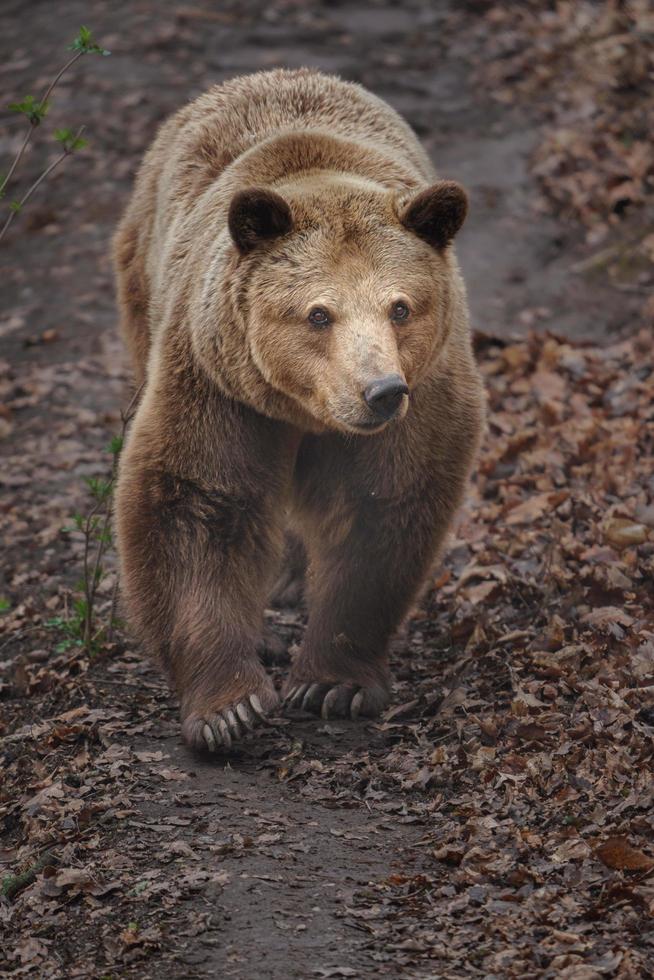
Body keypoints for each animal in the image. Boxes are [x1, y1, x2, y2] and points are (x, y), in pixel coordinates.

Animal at [115, 69, 486, 756]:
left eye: (400, 306)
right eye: (319, 313)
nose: (380, 391)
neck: (308, 411)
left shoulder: (422, 393)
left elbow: (381, 506)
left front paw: (331, 683)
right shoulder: (217, 384)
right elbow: (197, 498)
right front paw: (229, 707)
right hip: (142, 287)